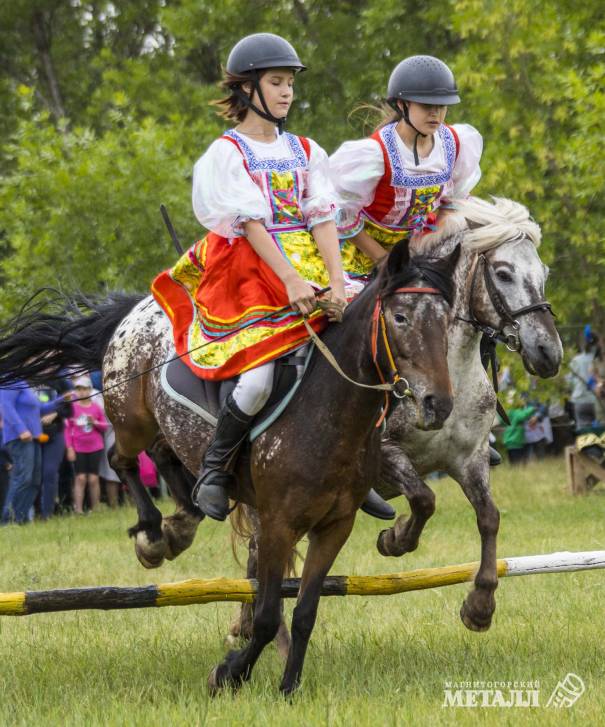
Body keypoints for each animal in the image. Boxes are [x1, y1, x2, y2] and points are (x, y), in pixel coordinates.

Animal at [0, 240, 458, 692]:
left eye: (447, 320)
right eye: (400, 317)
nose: (438, 404)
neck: (329, 411)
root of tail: (140, 306)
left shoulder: (334, 526)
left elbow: (305, 612)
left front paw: (288, 687)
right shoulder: (277, 524)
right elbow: (267, 614)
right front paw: (230, 673)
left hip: (169, 432)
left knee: (167, 455)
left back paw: (188, 514)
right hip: (131, 421)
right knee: (122, 459)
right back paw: (153, 534)